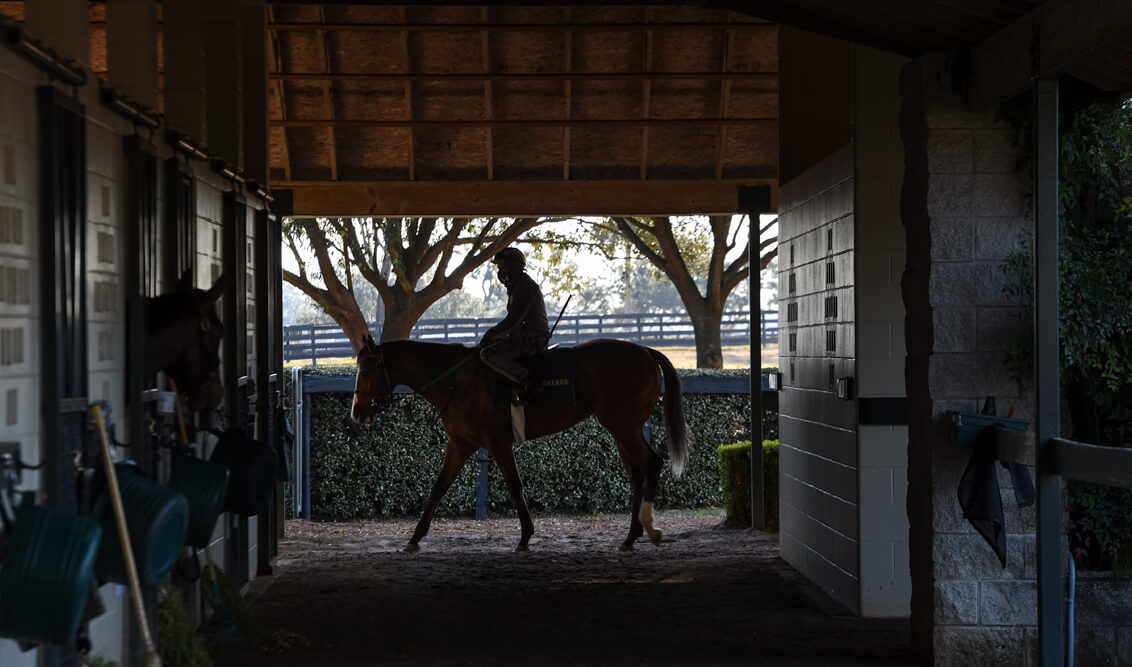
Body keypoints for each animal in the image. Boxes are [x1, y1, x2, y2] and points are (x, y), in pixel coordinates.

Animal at [350, 337, 688, 550]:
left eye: (365, 370)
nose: (358, 412)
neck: (457, 381)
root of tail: (645, 351)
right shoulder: (460, 444)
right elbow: (438, 487)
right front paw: (415, 537)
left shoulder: (498, 444)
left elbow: (515, 486)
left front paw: (525, 536)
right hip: (622, 431)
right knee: (637, 474)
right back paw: (631, 536)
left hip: (624, 427)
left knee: (652, 464)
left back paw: (647, 528)